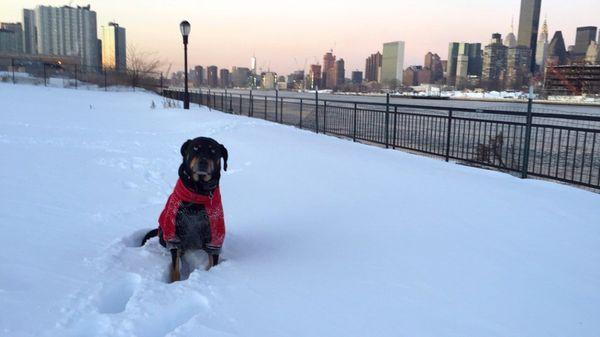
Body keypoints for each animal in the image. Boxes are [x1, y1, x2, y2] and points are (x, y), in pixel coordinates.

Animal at [142, 136, 229, 280]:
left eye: (213, 151)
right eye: (195, 148)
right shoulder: (173, 233)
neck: (198, 192)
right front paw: (175, 282)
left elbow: (213, 260)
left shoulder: (216, 234)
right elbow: (175, 266)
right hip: (163, 234)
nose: (203, 162)